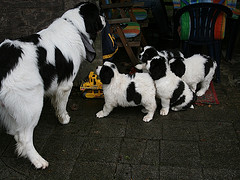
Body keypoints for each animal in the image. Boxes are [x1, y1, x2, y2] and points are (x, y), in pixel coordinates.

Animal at [0, 2, 105, 169]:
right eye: (98, 13)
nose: (105, 16)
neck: (74, 26)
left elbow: (56, 101)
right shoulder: (66, 85)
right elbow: (61, 105)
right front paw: (63, 119)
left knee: (16, 130)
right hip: (32, 103)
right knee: (24, 136)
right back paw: (37, 160)